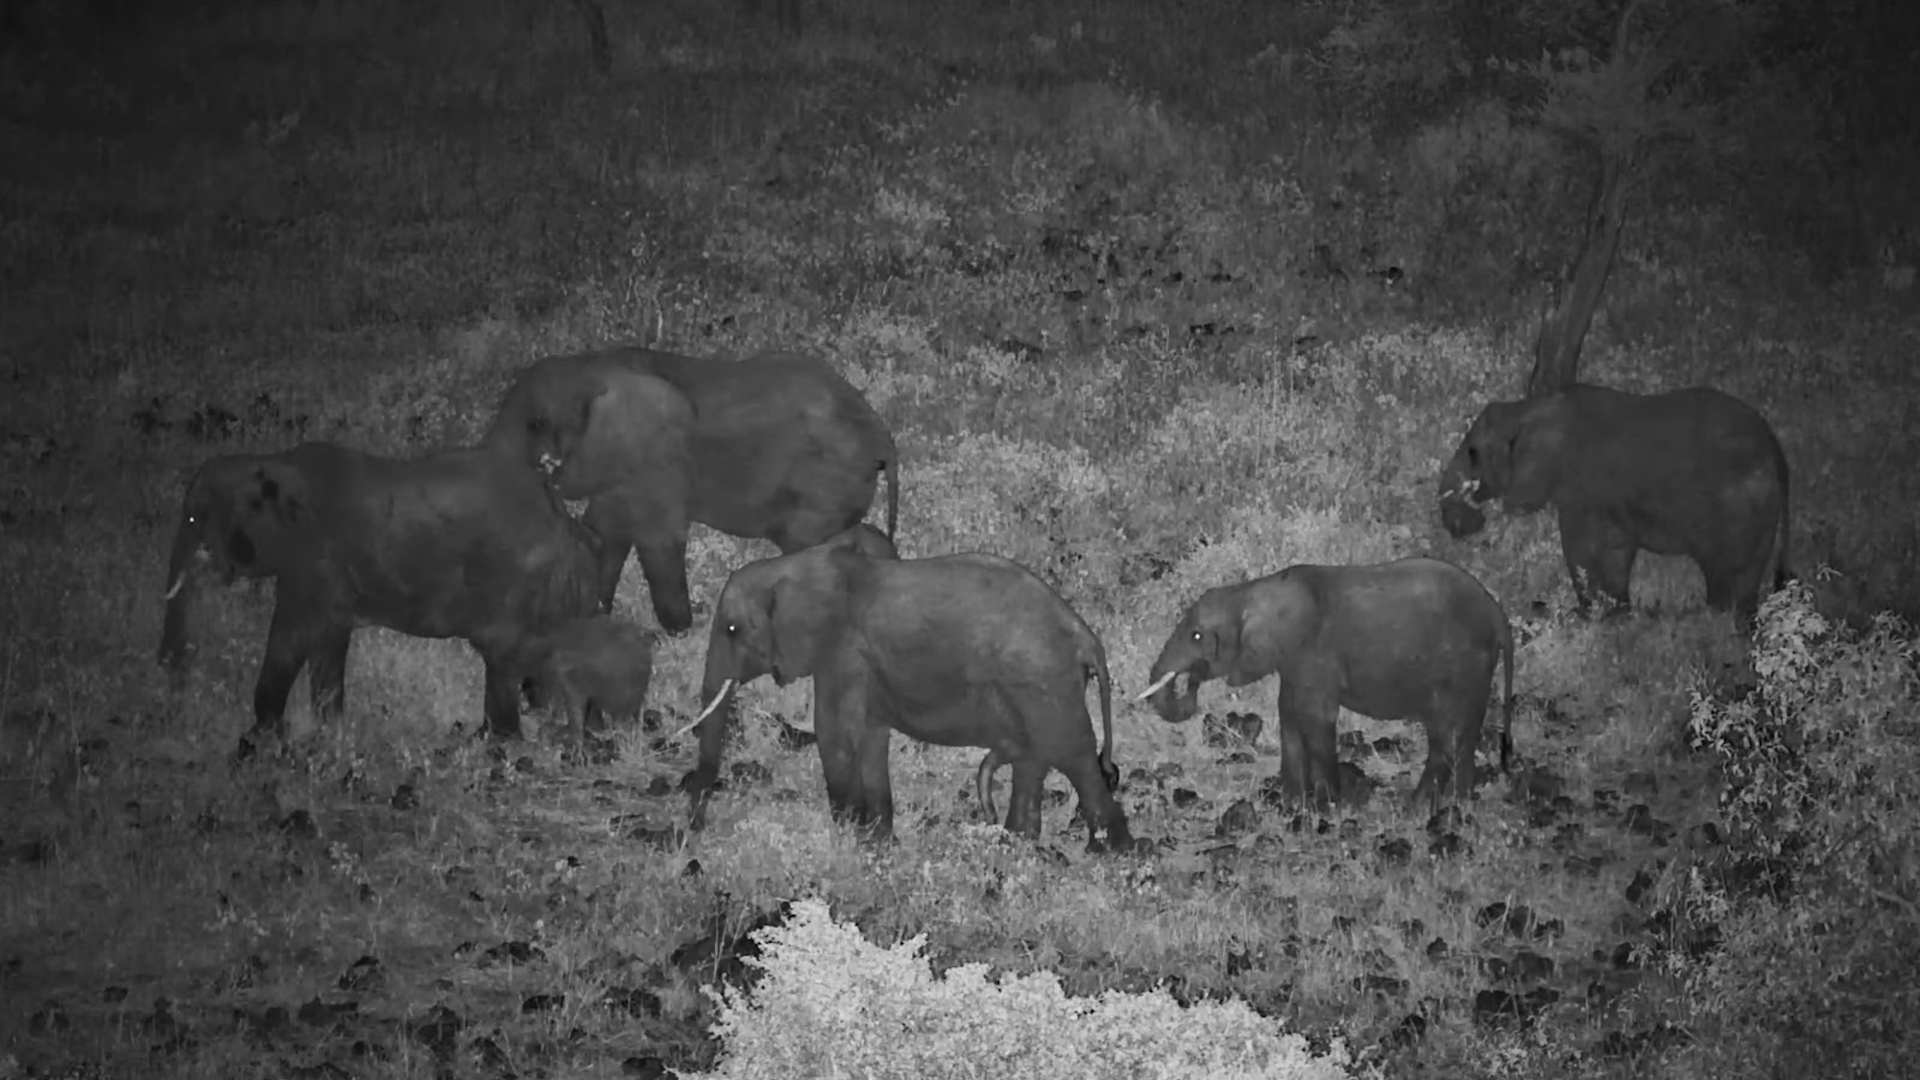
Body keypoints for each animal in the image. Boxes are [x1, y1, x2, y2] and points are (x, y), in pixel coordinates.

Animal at [158, 442, 604, 754]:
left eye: (194, 517)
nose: (169, 666)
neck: (269, 462)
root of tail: (562, 516)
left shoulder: (316, 561)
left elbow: (293, 635)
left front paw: (262, 738)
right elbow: (327, 642)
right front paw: (330, 736)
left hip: (515, 575)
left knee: (501, 655)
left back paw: (493, 743)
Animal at [482, 346, 900, 634]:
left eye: (536, 422)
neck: (587, 368)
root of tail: (881, 435)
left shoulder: (656, 460)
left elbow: (658, 538)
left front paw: (681, 631)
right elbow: (605, 531)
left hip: (825, 484)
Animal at [682, 547, 1131, 851]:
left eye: (733, 629)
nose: (694, 830)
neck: (796, 565)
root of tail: (1085, 636)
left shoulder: (843, 656)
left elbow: (836, 735)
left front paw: (849, 838)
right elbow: (871, 738)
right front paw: (878, 841)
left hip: (1043, 685)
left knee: (1075, 759)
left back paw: (1109, 852)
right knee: (1035, 761)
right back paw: (1019, 844)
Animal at [1141, 557, 1514, 814]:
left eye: (1197, 636)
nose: (1190, 685)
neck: (1251, 592)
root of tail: (1497, 612)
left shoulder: (1312, 653)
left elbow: (1315, 719)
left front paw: (1331, 809)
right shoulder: (1293, 662)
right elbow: (1289, 719)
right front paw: (1293, 808)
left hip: (1460, 666)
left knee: (1445, 733)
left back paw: (1416, 808)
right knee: (1463, 734)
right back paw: (1460, 805)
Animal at [1438, 384, 1790, 625]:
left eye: (1471, 452)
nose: (1467, 522)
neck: (1531, 409)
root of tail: (1776, 449)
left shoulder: (1579, 484)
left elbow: (1579, 547)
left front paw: (1586, 615)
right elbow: (1616, 550)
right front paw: (1617, 616)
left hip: (1741, 502)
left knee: (1725, 572)